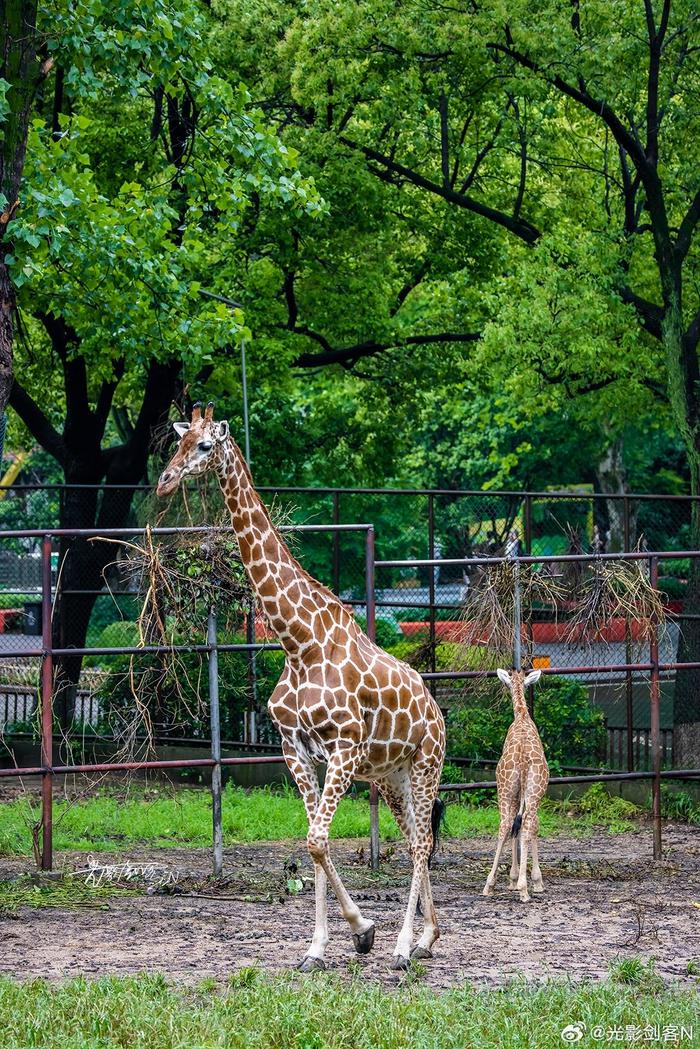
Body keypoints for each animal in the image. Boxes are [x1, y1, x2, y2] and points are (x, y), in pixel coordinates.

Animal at [156, 400, 447, 965]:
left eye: (204, 445)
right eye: (176, 444)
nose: (164, 482)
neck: (298, 642)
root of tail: (437, 710)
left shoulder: (344, 748)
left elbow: (316, 839)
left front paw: (363, 931)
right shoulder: (296, 749)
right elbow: (314, 841)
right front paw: (330, 942)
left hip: (426, 764)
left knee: (423, 843)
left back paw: (405, 946)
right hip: (392, 777)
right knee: (412, 840)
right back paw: (428, 937)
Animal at [484, 671, 549, 902]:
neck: (521, 715)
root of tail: (521, 758)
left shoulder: (518, 793)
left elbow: (514, 826)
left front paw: (512, 879)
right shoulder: (532, 795)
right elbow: (533, 827)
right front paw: (535, 881)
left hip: (504, 789)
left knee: (505, 824)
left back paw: (489, 885)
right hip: (533, 790)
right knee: (528, 823)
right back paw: (524, 888)